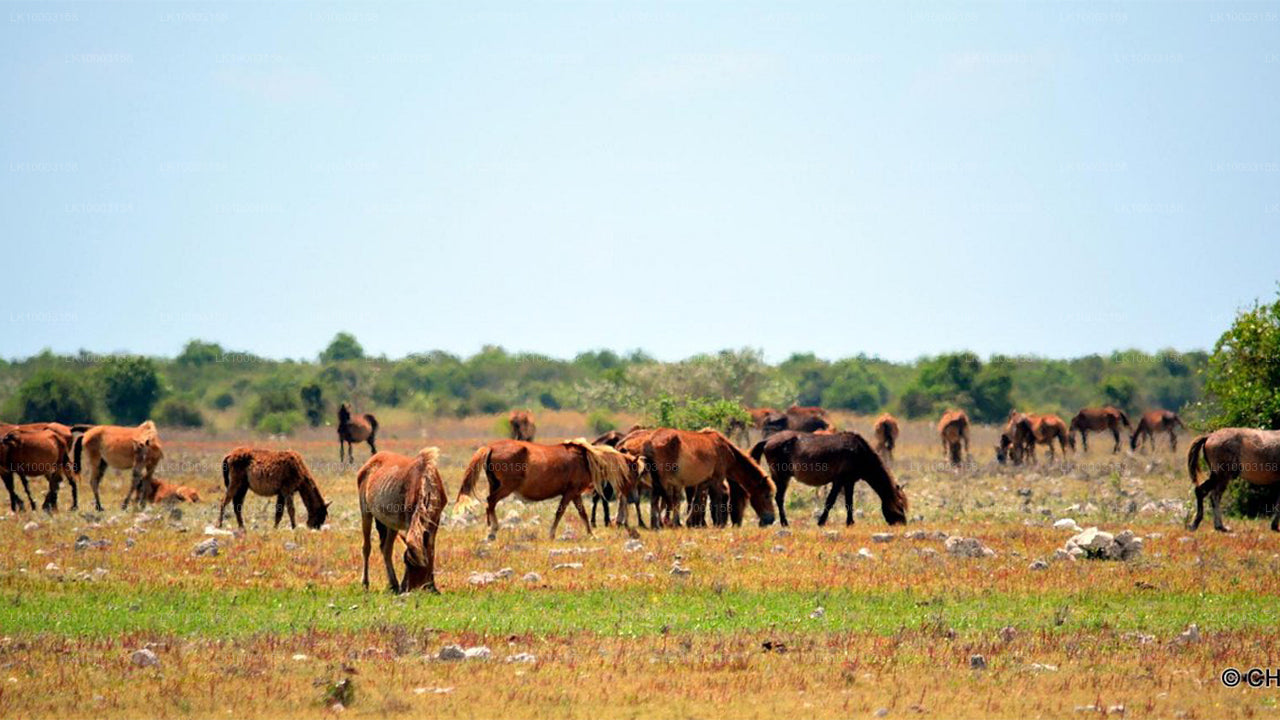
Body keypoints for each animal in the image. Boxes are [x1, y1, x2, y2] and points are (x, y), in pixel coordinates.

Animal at [358, 445, 448, 591]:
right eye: (406, 561)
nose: (410, 589)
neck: (425, 480)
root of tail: (369, 463)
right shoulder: (408, 521)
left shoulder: (435, 520)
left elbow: (431, 550)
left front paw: (433, 585)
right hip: (366, 513)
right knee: (367, 548)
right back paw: (366, 583)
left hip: (390, 524)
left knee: (386, 549)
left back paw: (393, 584)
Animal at [458, 438, 640, 538]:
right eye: (635, 472)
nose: (634, 498)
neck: (586, 459)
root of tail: (491, 447)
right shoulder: (570, 493)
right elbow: (560, 512)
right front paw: (552, 534)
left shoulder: (575, 494)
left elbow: (583, 514)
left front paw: (591, 534)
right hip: (506, 488)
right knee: (491, 502)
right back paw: (492, 530)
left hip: (494, 485)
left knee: (490, 504)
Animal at [645, 425, 773, 527]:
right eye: (767, 495)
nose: (771, 519)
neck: (726, 450)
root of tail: (651, 441)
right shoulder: (718, 479)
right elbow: (717, 499)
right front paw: (719, 524)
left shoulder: (704, 482)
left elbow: (698, 500)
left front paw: (692, 522)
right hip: (664, 480)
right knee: (662, 500)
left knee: (656, 500)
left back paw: (658, 525)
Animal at [747, 427, 911, 525]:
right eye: (900, 505)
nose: (902, 523)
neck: (859, 452)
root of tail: (768, 440)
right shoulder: (839, 481)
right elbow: (830, 501)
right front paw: (821, 522)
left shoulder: (849, 481)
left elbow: (849, 502)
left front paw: (850, 522)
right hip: (781, 476)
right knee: (779, 498)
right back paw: (784, 523)